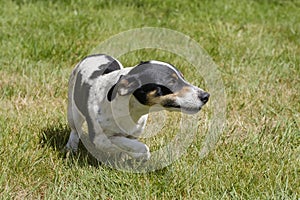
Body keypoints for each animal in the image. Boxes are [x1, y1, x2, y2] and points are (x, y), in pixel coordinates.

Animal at [66, 54, 210, 162]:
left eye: (183, 78)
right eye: (171, 82)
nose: (206, 96)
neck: (131, 110)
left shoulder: (134, 134)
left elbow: (129, 146)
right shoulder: (98, 139)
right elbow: (129, 144)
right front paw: (140, 155)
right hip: (73, 112)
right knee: (75, 130)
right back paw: (71, 147)